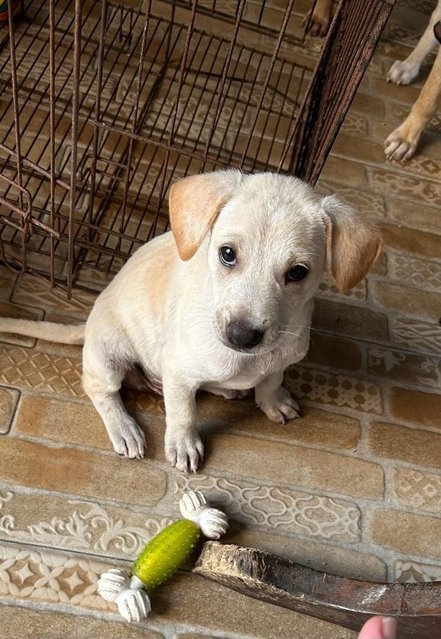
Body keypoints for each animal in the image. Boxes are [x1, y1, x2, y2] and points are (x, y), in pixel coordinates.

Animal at [0, 172, 380, 472]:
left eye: (298, 272)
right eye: (227, 253)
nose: (242, 335)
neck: (246, 360)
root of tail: (88, 326)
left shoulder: (281, 357)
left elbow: (272, 379)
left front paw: (272, 401)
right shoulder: (179, 371)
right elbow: (183, 411)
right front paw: (183, 445)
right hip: (108, 355)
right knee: (101, 389)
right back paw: (125, 428)